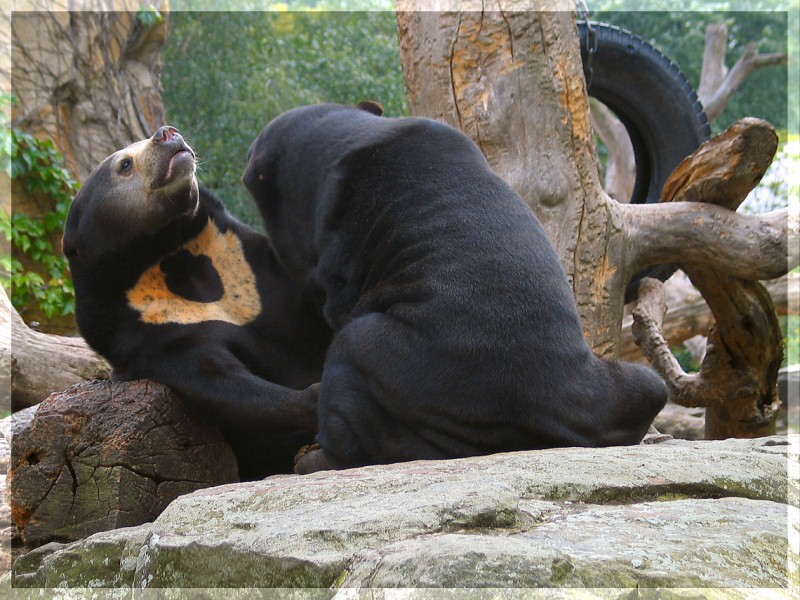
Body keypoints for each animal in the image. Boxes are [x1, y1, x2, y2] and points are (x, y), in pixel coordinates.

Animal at [61, 125, 332, 478]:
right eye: (125, 165)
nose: (167, 132)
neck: (169, 252)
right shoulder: (148, 333)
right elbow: (220, 382)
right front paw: (318, 395)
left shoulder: (248, 263)